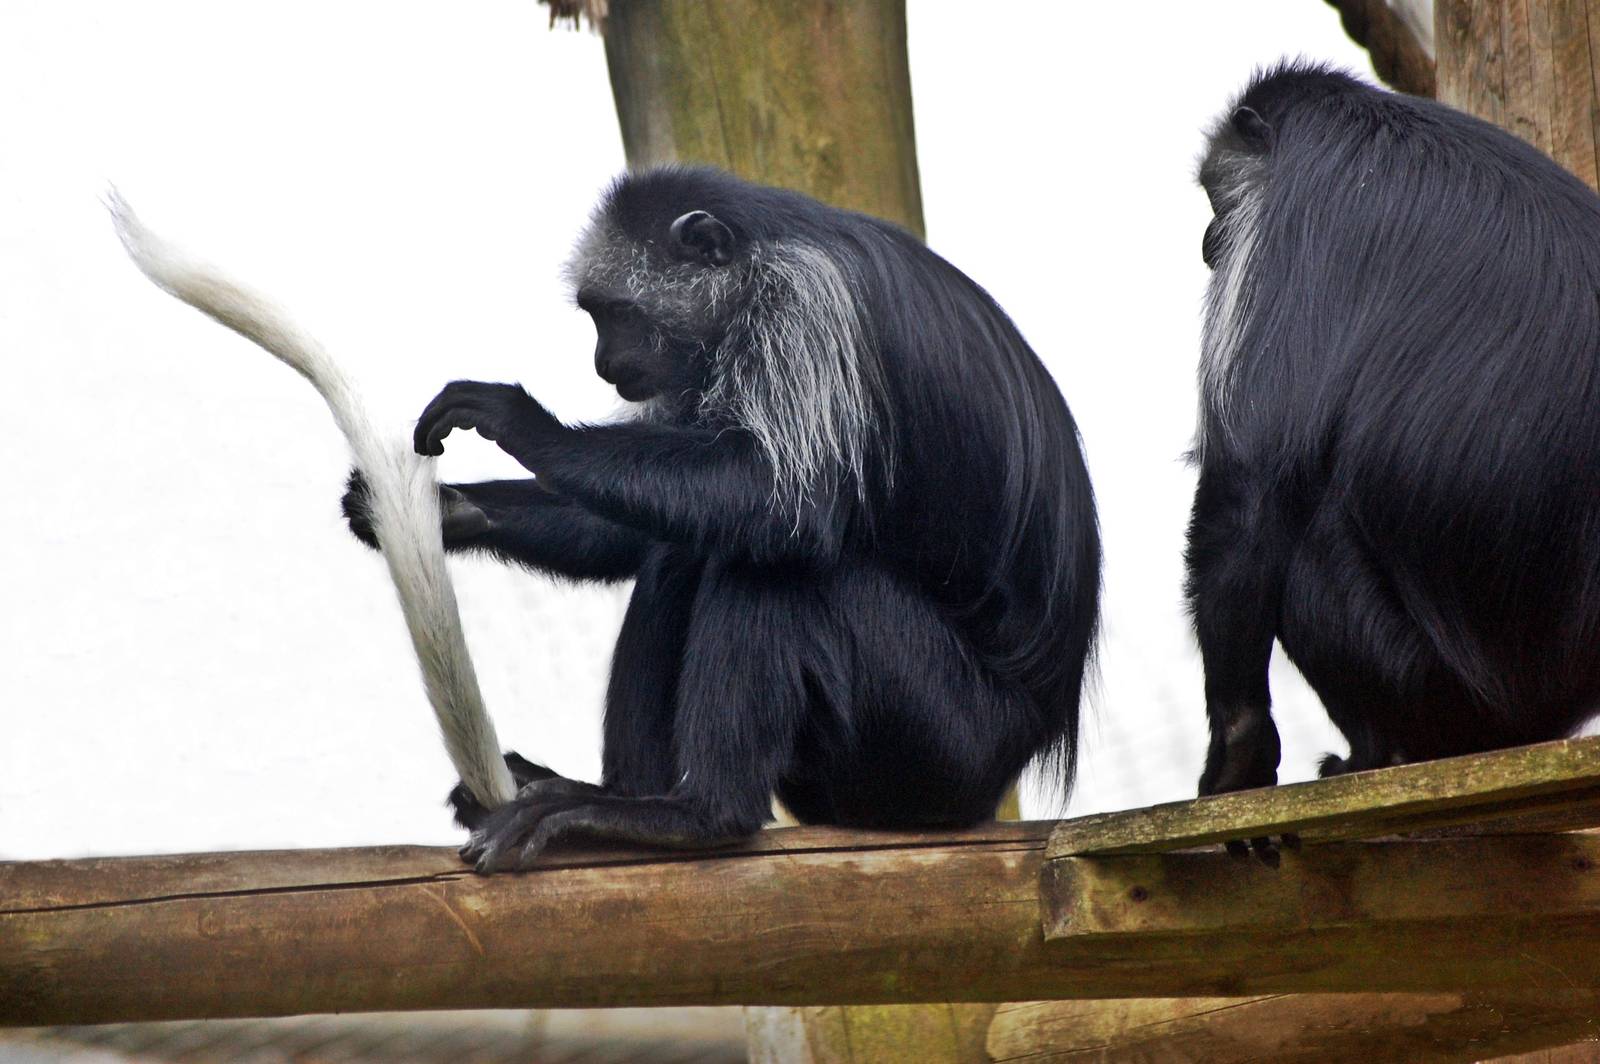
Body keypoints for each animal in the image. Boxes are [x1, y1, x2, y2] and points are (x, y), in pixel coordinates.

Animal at [345, 166, 1102, 872]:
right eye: (595, 315)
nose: (604, 363)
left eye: (614, 312)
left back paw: (696, 816)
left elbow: (786, 505)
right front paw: (440, 511)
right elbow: (640, 529)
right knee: (683, 554)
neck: (757, 251)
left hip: (940, 738)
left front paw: (523, 422)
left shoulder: (803, 309)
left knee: (778, 568)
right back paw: (618, 798)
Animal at [1189, 63, 1600, 825]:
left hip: (1432, 685)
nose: (1207, 238)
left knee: (1306, 546)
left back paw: (1378, 756)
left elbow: (1250, 486)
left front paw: (1237, 760)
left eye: (1214, 198)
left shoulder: (1292, 218)